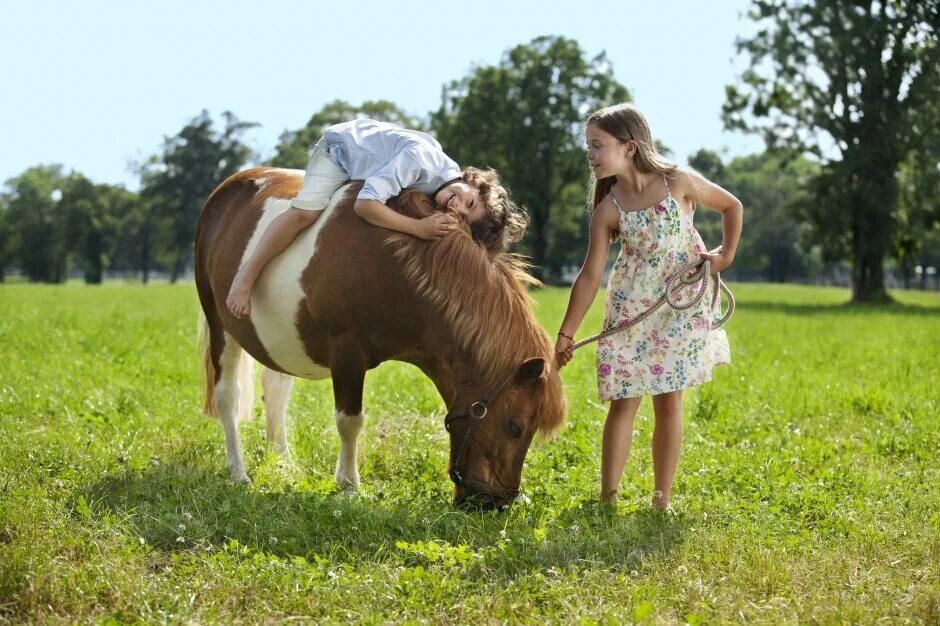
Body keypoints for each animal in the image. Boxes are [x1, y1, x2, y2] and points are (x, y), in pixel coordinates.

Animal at [195, 167, 564, 508]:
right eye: (515, 427)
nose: (495, 504)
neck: (394, 260)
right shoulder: (346, 353)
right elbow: (350, 421)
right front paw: (348, 485)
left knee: (275, 391)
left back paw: (282, 462)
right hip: (219, 324)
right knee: (228, 396)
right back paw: (237, 471)